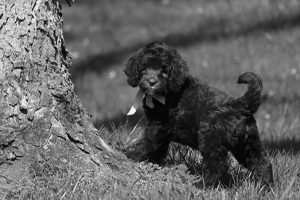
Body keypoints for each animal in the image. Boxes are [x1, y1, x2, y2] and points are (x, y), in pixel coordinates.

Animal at [123, 41, 274, 187]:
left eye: (164, 71)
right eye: (143, 68)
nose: (152, 82)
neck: (167, 92)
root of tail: (240, 104)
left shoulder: (158, 126)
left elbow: (148, 142)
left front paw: (132, 154)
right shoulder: (161, 130)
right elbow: (158, 148)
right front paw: (153, 162)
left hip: (210, 139)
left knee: (217, 165)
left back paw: (203, 184)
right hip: (246, 142)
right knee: (261, 161)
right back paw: (266, 186)